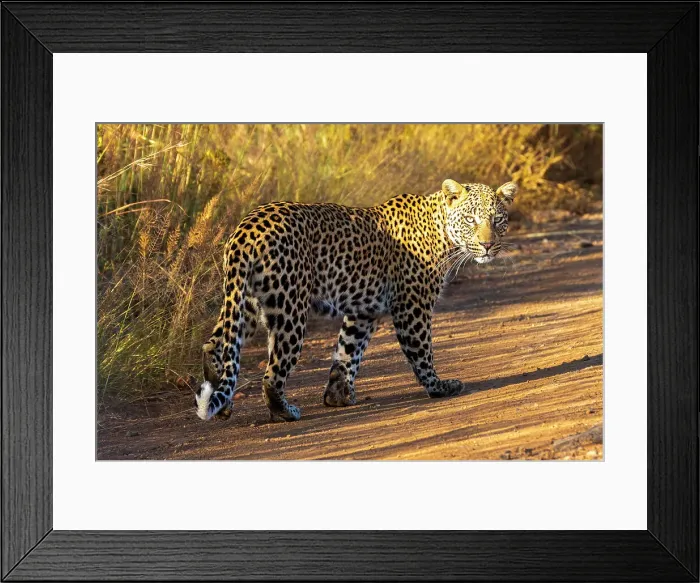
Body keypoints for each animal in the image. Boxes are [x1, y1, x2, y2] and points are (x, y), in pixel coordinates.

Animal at [195, 178, 517, 422]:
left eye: (498, 220)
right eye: (471, 219)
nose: (488, 245)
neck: (441, 230)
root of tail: (246, 229)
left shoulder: (364, 311)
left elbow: (348, 351)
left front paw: (337, 396)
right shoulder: (412, 306)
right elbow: (422, 351)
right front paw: (438, 386)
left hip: (245, 302)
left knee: (215, 344)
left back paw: (221, 401)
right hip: (290, 308)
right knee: (272, 375)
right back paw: (284, 412)